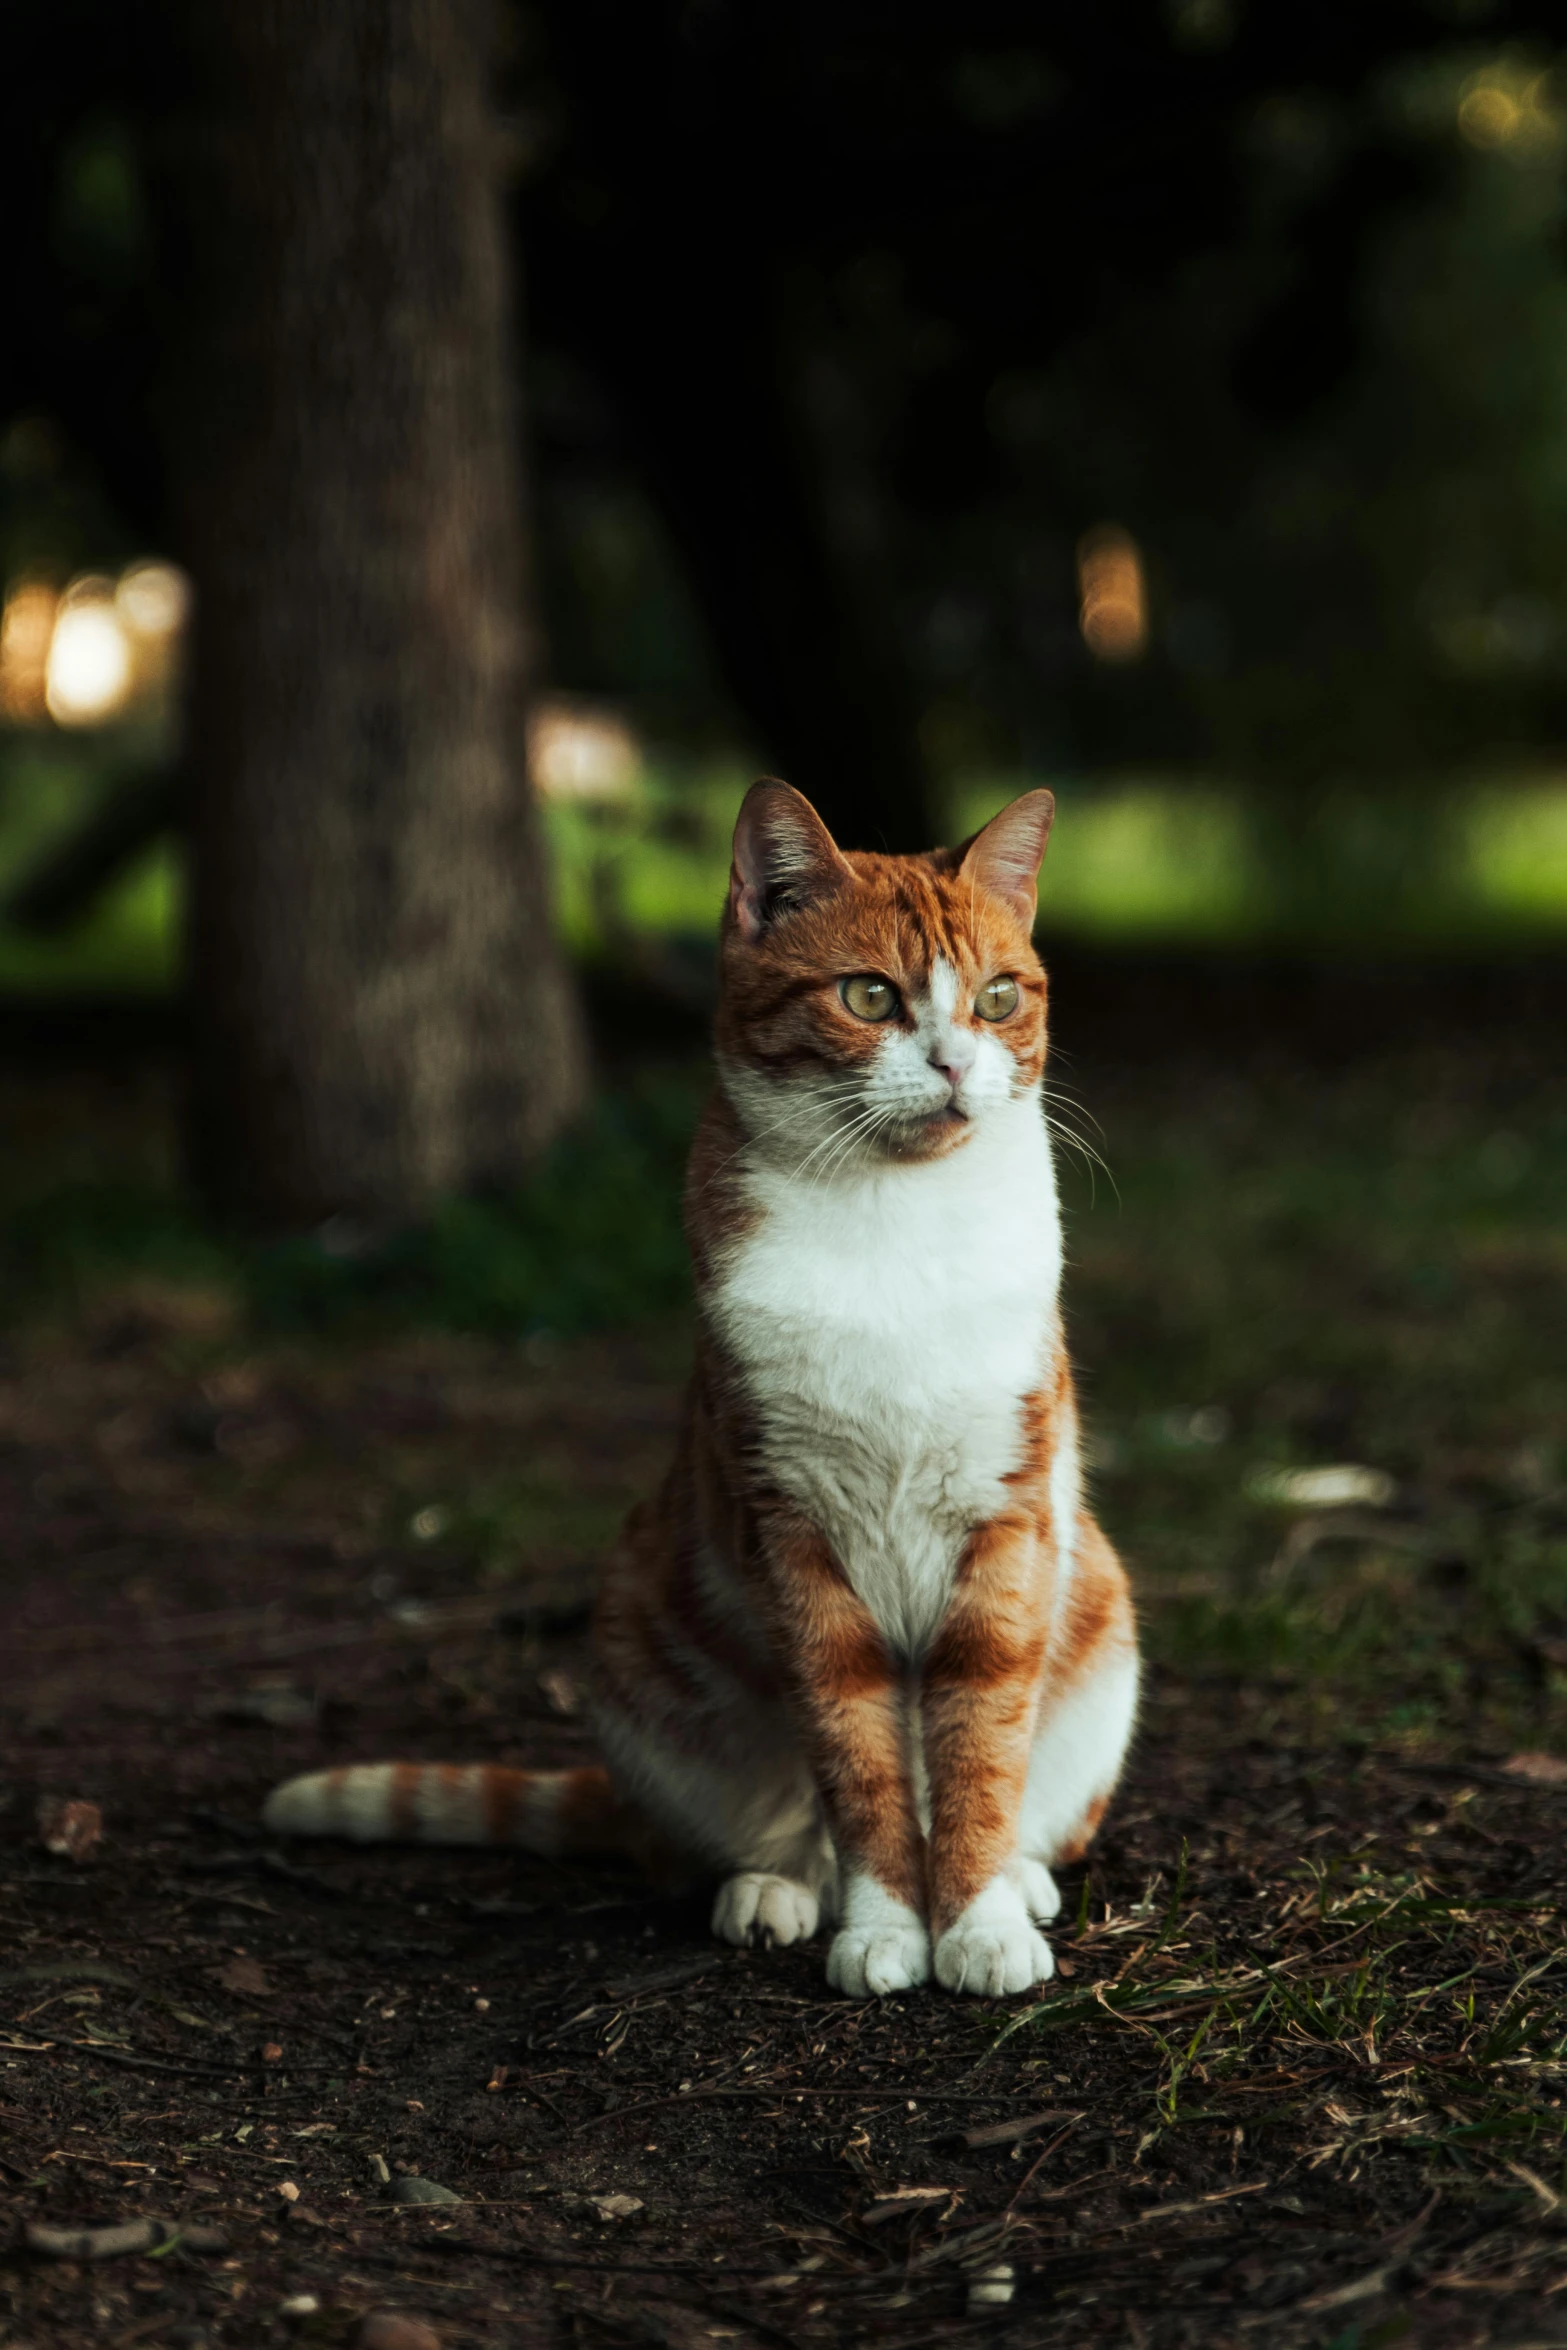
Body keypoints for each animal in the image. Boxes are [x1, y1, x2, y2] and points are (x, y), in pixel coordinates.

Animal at [266, 784, 1141, 2002]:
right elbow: (857, 1756)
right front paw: (887, 1925)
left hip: (1097, 1611)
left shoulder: (1006, 1519)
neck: (900, 1229)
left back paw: (1018, 1879)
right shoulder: (791, 1528)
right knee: (743, 1838)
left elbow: (977, 1742)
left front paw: (973, 1920)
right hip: (637, 1634)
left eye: (999, 997)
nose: (955, 1067)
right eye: (869, 995)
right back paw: (773, 1891)